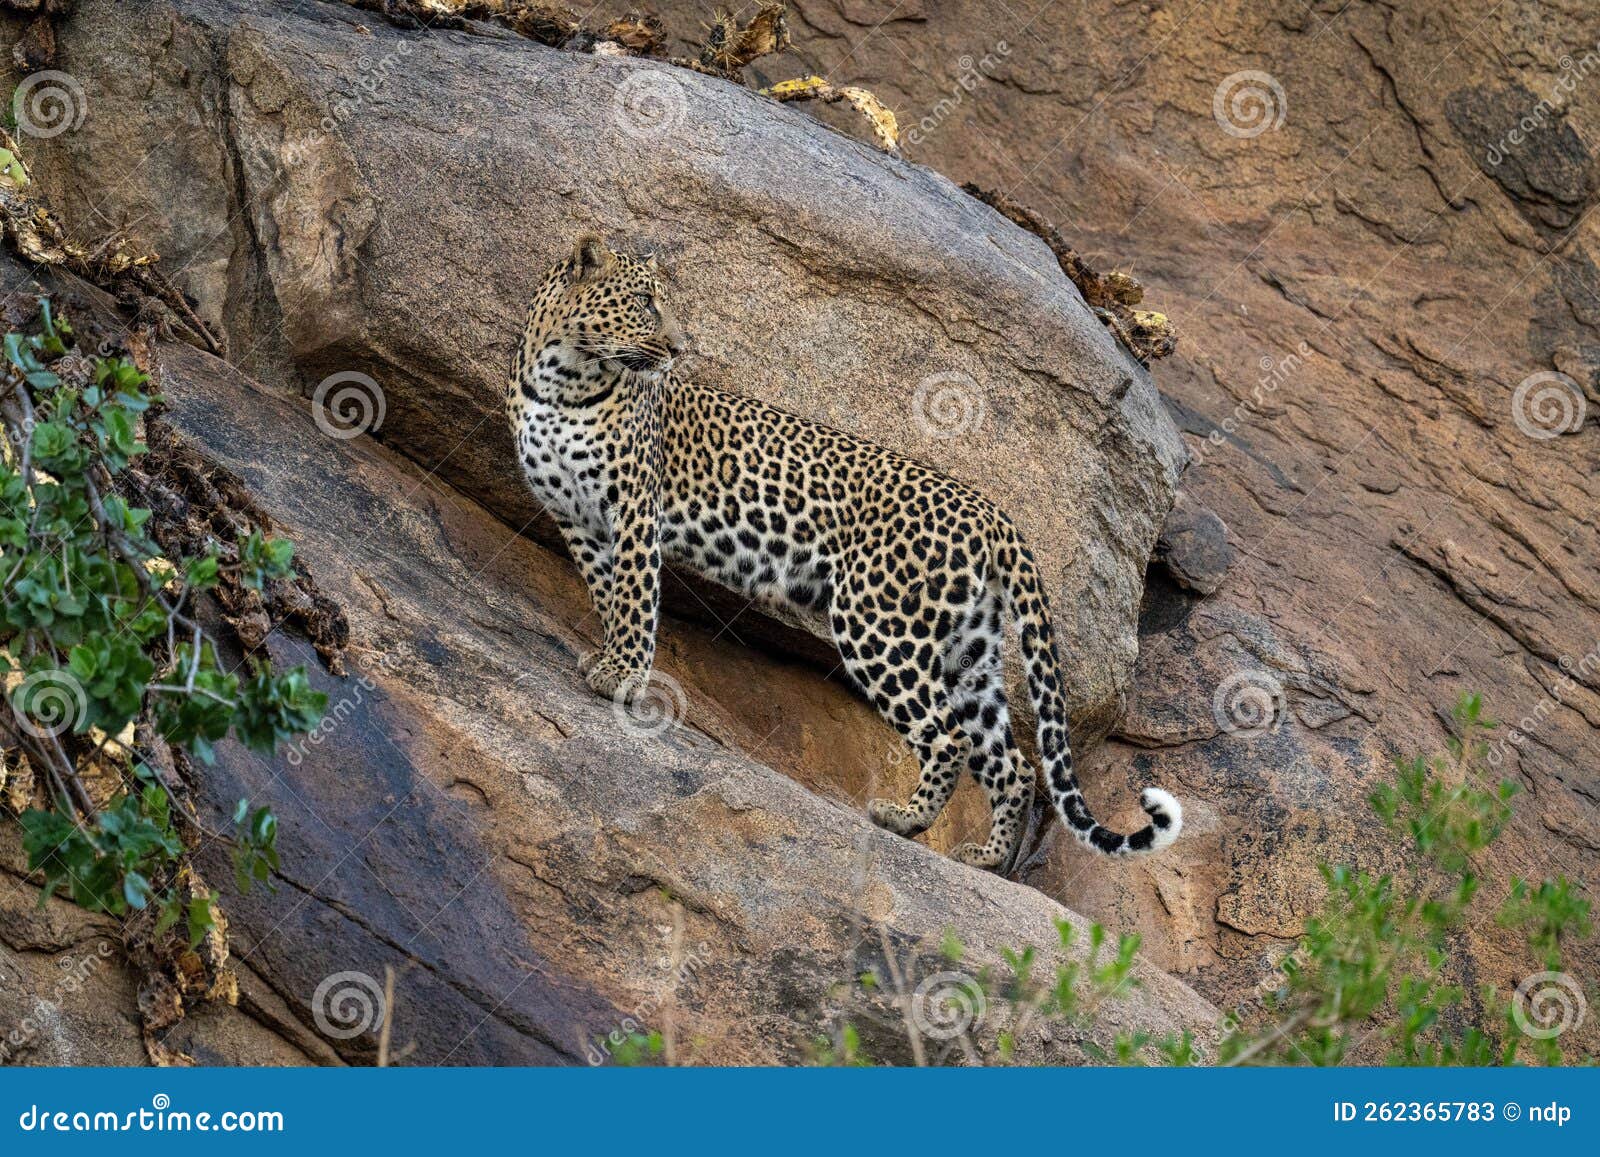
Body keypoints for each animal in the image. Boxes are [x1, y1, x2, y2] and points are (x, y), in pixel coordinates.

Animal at [505, 230, 1182, 872]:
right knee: (1009, 760)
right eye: (646, 303)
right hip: (968, 650)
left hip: (878, 622)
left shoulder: (634, 512)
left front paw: (622, 678)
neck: (562, 379)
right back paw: (986, 857)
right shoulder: (575, 520)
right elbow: (606, 595)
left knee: (948, 737)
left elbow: (635, 600)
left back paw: (904, 819)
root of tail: (993, 513)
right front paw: (609, 659)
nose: (678, 348)